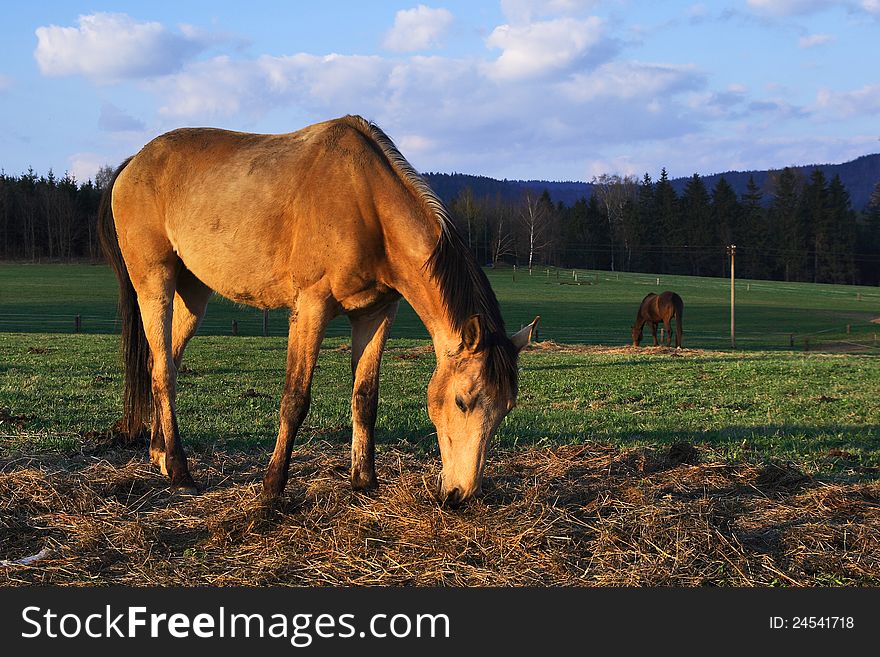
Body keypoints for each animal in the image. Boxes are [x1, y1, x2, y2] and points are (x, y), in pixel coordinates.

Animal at [96, 113, 536, 504]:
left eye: (506, 408)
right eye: (462, 401)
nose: (462, 495)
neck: (366, 202)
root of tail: (133, 163)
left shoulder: (376, 315)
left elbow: (365, 398)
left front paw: (364, 481)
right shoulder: (311, 308)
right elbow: (295, 399)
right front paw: (272, 490)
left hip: (193, 296)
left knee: (162, 363)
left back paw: (160, 455)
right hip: (155, 285)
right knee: (163, 373)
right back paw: (180, 471)